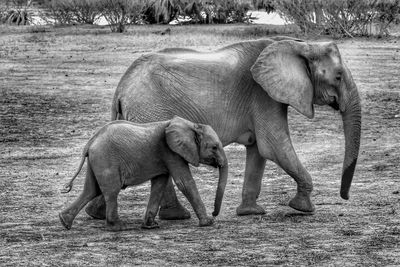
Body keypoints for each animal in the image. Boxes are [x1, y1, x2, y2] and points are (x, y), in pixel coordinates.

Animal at [59, 116, 228, 231]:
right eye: (214, 147)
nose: (214, 213)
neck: (192, 125)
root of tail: (90, 142)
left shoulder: (166, 156)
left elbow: (160, 184)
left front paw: (151, 226)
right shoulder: (171, 153)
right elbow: (185, 183)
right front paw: (208, 223)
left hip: (97, 159)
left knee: (91, 189)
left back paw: (64, 222)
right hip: (105, 159)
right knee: (111, 190)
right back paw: (118, 227)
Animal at [86, 36, 360, 220]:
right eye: (337, 76)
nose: (345, 197)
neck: (299, 45)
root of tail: (120, 88)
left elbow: (259, 151)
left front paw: (251, 212)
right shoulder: (263, 95)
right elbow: (274, 147)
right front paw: (303, 208)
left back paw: (96, 214)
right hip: (149, 111)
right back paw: (178, 216)